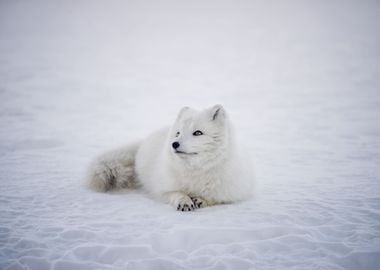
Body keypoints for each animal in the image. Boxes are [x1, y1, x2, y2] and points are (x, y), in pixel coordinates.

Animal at [84, 105, 254, 211]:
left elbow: (215, 198)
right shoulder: (161, 189)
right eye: (178, 133)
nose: (174, 144)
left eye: (198, 133)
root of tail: (143, 142)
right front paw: (184, 201)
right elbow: (175, 193)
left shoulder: (233, 193)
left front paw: (201, 199)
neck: (195, 170)